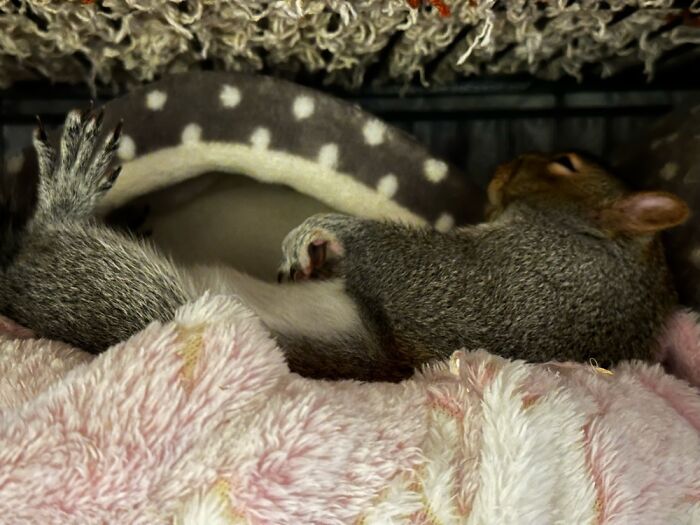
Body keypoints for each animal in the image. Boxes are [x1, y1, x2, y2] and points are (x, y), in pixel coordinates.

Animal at [0, 109, 690, 382]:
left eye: (567, 163)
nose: (501, 167)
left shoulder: (523, 277)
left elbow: (408, 268)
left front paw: (327, 231)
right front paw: (315, 260)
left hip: (138, 299)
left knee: (44, 246)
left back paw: (66, 192)